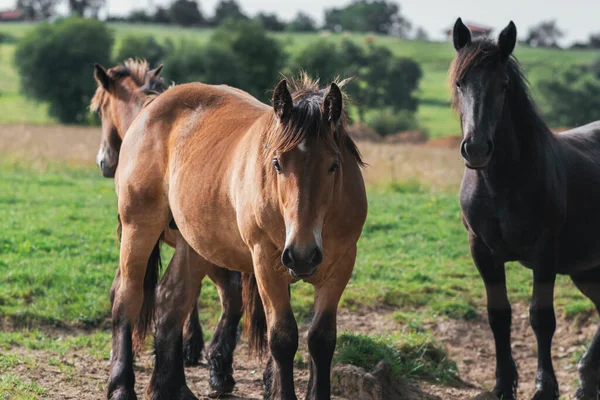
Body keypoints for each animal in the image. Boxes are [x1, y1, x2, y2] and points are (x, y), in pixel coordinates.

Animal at [110, 75, 368, 400]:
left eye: (334, 164)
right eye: (277, 162)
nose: (302, 255)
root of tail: (153, 106)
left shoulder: (342, 264)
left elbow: (322, 340)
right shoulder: (266, 261)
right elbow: (282, 338)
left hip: (194, 243)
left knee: (171, 300)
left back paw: (170, 389)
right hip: (139, 226)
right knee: (126, 297)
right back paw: (121, 387)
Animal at [452, 18, 600, 400]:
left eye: (502, 85)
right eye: (460, 82)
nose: (476, 149)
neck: (501, 184)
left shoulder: (545, 251)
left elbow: (541, 318)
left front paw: (544, 387)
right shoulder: (482, 251)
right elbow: (498, 316)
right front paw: (503, 384)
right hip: (587, 270)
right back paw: (586, 381)